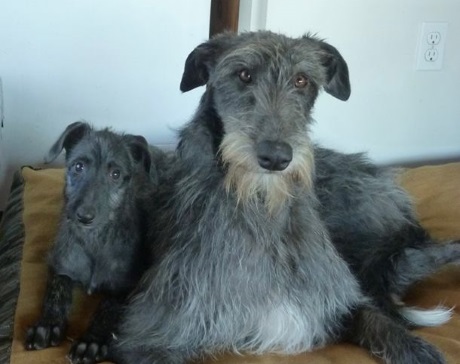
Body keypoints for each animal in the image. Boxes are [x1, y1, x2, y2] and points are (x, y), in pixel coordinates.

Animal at [24, 122, 157, 364]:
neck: (94, 240)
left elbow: (109, 307)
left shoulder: (129, 286)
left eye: (115, 174)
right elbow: (56, 289)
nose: (84, 217)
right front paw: (47, 324)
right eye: (78, 166)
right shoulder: (59, 263)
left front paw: (92, 340)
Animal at [114, 32, 456, 364]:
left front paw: (417, 349)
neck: (262, 205)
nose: (276, 157)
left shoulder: (335, 296)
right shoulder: (150, 333)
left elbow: (376, 319)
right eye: (243, 74)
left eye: (302, 80)